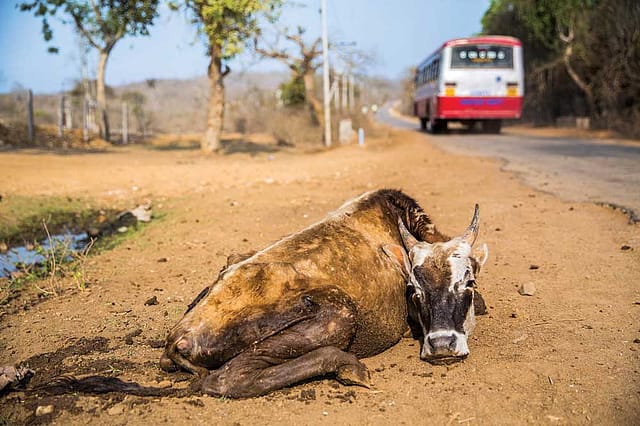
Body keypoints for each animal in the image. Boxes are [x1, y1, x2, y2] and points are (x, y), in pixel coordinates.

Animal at [158, 189, 489, 398]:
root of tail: (179, 336)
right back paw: (348, 366)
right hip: (339, 312)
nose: (442, 346)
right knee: (225, 379)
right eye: (414, 289)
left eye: (468, 282)